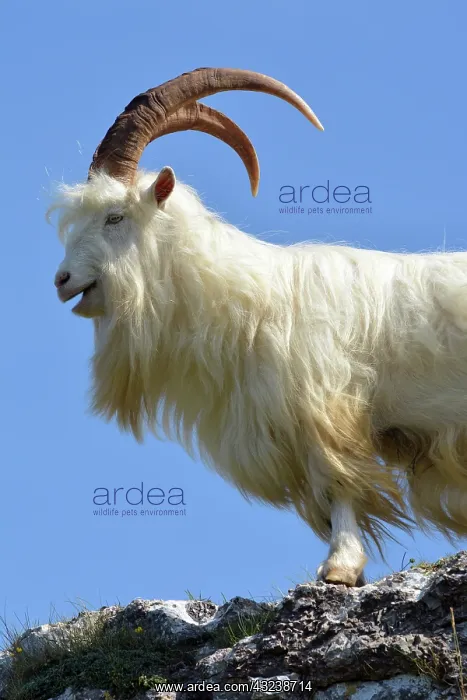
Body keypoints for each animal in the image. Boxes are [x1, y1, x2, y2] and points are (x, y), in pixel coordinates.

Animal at [50, 67, 467, 586]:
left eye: (114, 217)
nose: (62, 280)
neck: (256, 300)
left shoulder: (324, 409)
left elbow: (339, 483)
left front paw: (339, 567)